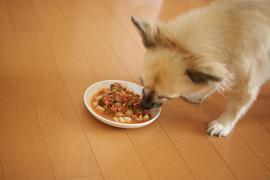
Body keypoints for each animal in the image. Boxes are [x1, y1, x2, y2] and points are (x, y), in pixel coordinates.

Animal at [131, 0, 270, 136]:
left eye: (168, 97)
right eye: (142, 82)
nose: (144, 105)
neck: (232, 29)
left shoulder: (246, 85)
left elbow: (234, 107)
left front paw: (222, 124)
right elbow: (214, 81)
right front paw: (199, 94)